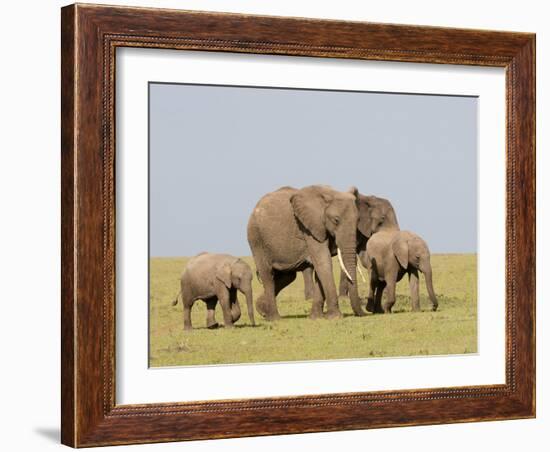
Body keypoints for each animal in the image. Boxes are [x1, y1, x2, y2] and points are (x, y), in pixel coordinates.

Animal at [250, 185, 366, 322]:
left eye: (358, 220)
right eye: (336, 220)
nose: (364, 313)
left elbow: (320, 267)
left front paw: (316, 317)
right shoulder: (309, 228)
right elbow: (323, 262)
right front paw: (335, 317)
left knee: (287, 276)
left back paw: (263, 311)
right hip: (256, 239)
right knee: (267, 274)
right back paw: (275, 319)